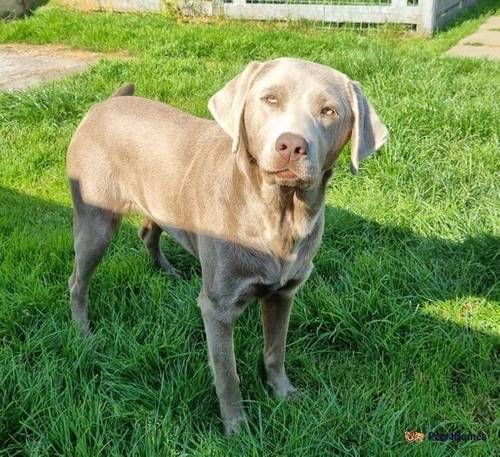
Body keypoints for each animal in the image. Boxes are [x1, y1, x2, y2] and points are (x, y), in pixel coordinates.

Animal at [65, 57, 386, 434]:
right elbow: (227, 372)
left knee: (148, 233)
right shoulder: (217, 307)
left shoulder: (284, 293)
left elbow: (276, 349)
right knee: (77, 281)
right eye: (270, 99)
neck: (277, 213)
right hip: (96, 222)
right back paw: (84, 334)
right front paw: (236, 428)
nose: (292, 145)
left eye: (329, 111)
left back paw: (168, 271)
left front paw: (284, 393)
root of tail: (105, 103)